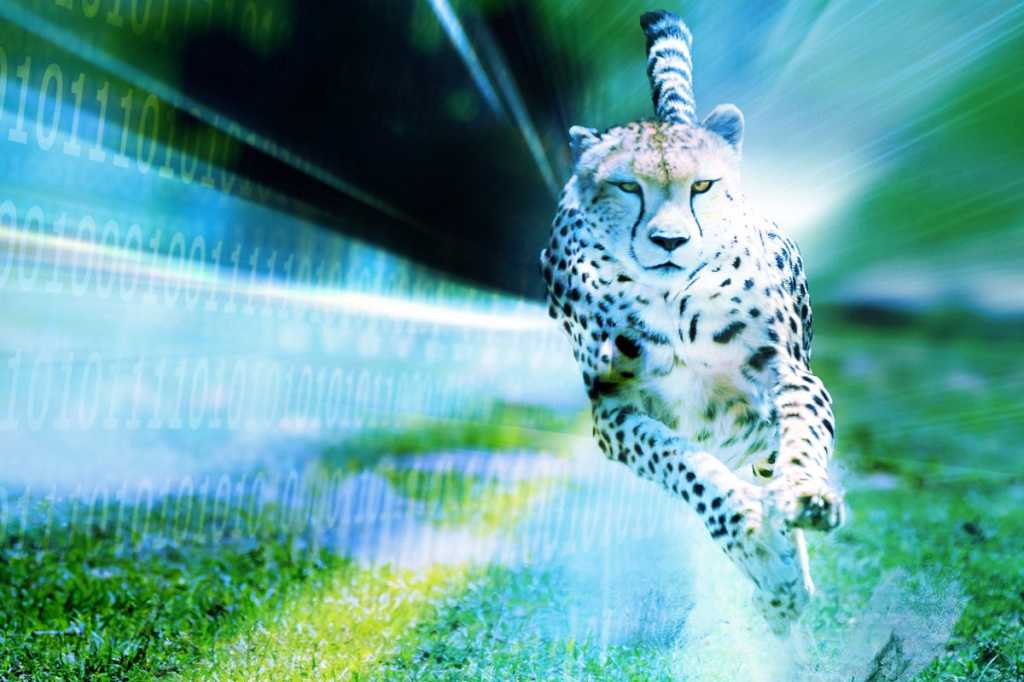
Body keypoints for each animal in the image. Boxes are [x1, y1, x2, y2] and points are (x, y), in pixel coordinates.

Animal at [540, 9, 845, 634]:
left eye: (702, 185)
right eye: (626, 186)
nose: (670, 241)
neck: (672, 302)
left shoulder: (788, 375)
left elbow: (802, 438)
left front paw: (804, 498)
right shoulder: (612, 412)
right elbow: (684, 464)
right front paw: (753, 539)